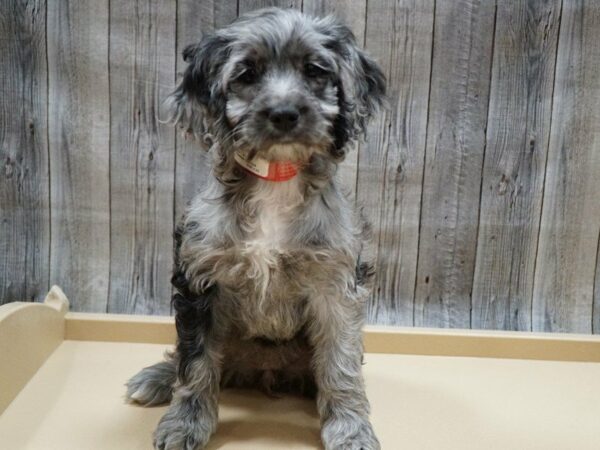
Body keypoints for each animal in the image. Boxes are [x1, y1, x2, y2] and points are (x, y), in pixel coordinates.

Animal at [125, 7, 386, 450]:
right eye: (247, 74)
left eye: (314, 70)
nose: (284, 114)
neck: (276, 177)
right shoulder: (200, 281)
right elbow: (194, 362)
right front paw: (184, 424)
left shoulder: (336, 285)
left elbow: (342, 363)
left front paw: (351, 430)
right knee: (181, 357)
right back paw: (157, 379)